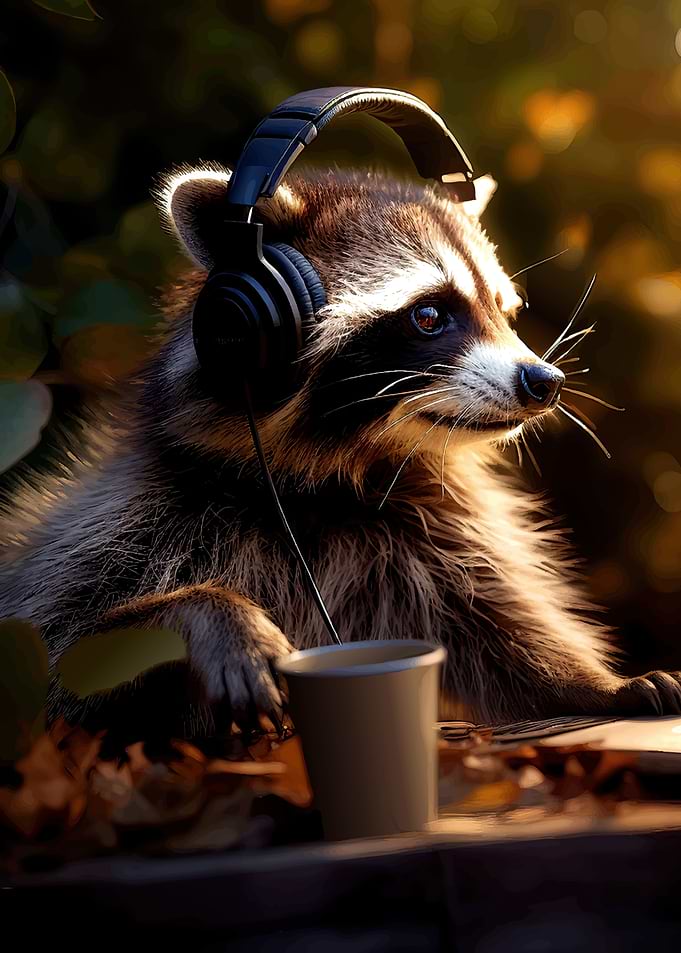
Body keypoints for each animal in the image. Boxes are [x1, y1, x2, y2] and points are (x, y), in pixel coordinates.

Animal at [1, 164, 680, 740]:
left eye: (503, 311)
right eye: (430, 315)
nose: (544, 381)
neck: (333, 469)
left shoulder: (432, 527)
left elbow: (497, 629)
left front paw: (590, 683)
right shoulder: (129, 520)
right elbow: (55, 648)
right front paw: (211, 613)